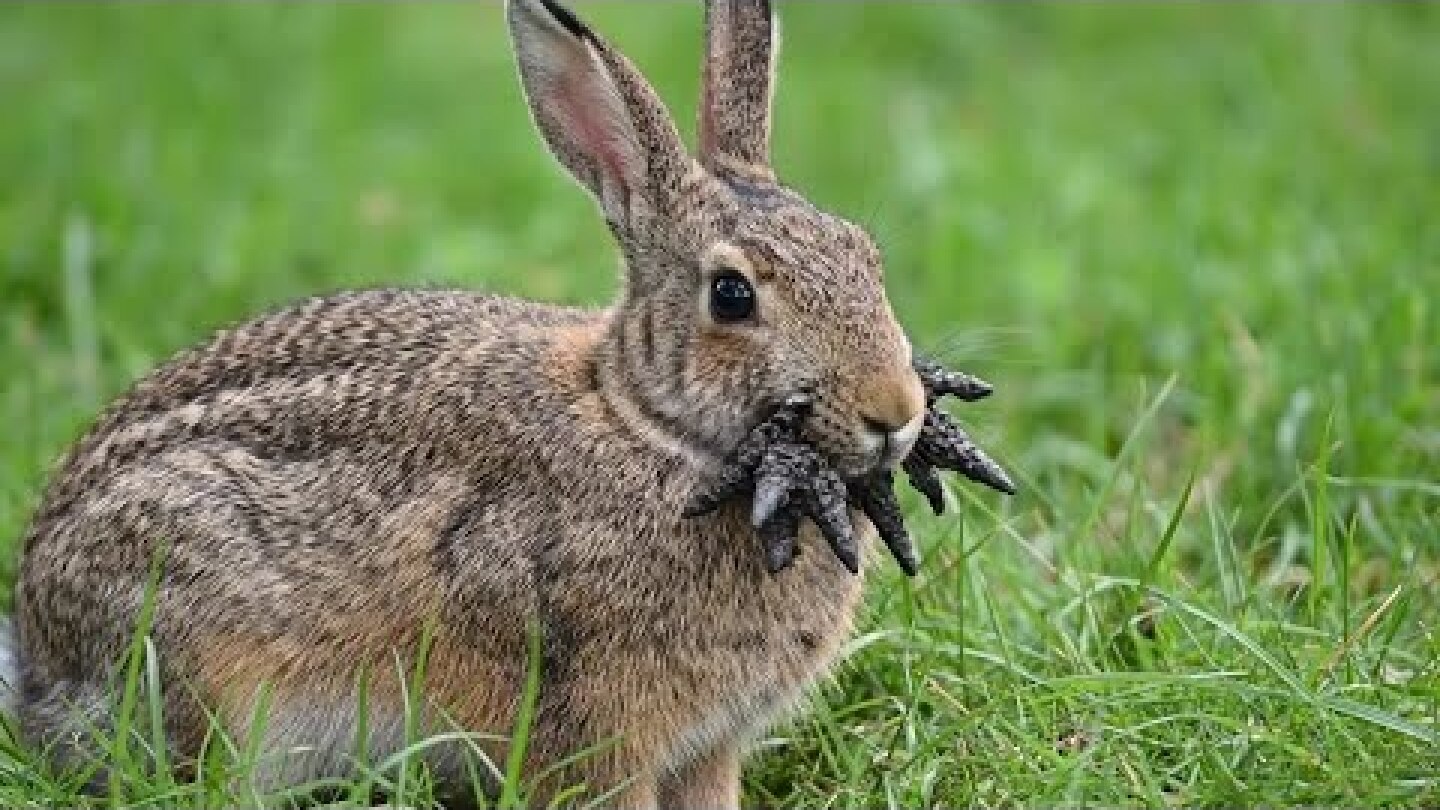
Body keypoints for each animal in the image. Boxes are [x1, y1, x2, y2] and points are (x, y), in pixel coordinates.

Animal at [6, 0, 933, 807]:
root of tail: (42, 673)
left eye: (865, 255)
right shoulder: (599, 726)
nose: (897, 410)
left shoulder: (707, 748)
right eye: (732, 297)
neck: (650, 427)